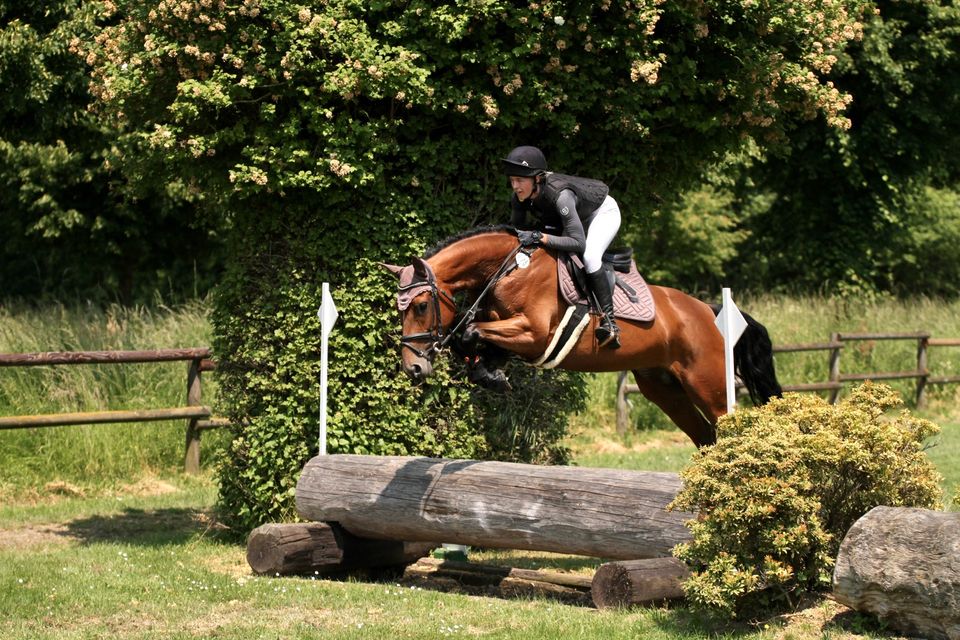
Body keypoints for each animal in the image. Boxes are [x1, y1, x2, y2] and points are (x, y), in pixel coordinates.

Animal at [382, 228, 780, 448]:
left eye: (420, 306)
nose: (413, 369)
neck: (508, 270)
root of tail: (708, 311)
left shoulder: (534, 333)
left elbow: (471, 331)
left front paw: (485, 370)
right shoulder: (503, 324)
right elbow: (474, 334)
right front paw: (489, 373)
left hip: (708, 384)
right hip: (665, 388)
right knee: (705, 437)